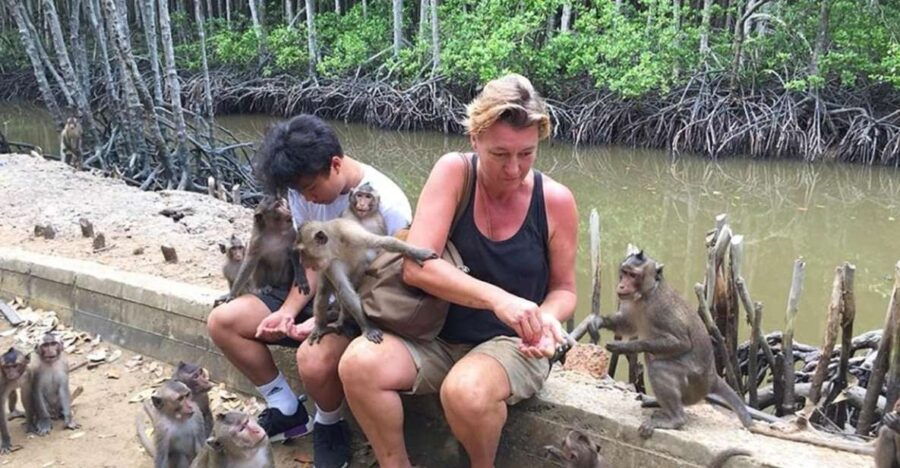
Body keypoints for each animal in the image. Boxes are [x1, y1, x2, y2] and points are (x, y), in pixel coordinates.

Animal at [295, 218, 438, 344]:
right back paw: (328, 325)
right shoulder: (330, 263)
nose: (302, 262)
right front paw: (367, 327)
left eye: (303, 252)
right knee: (323, 293)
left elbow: (385, 241)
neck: (335, 246)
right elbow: (345, 291)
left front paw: (417, 253)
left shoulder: (350, 233)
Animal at [598, 251, 753, 439]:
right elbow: (626, 324)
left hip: (694, 381)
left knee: (658, 366)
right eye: (624, 272)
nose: (621, 285)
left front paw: (624, 347)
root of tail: (712, 378)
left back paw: (676, 419)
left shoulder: (660, 310)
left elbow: (682, 343)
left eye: (633, 275)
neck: (647, 294)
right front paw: (595, 321)